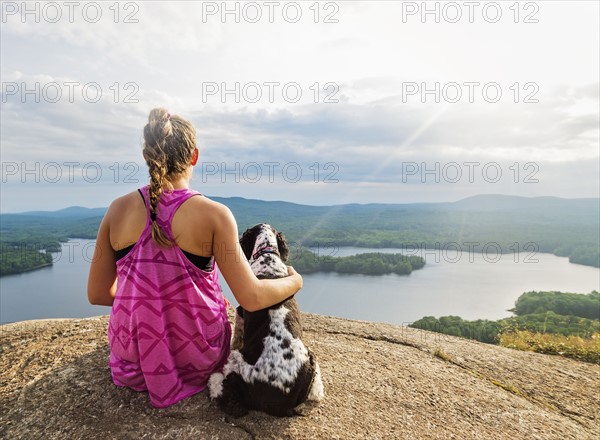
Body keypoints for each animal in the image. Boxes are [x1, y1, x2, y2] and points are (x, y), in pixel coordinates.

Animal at [210, 223, 326, 416]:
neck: (268, 255)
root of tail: (285, 404)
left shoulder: (242, 311)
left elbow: (237, 335)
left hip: (237, 362)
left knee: (230, 397)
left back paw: (214, 381)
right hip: (311, 359)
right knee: (316, 391)